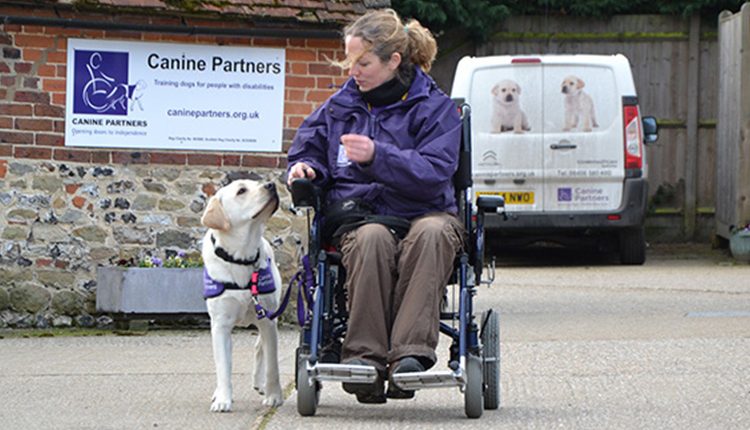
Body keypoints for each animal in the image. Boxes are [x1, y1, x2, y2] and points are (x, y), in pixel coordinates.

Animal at [200, 177, 284, 410]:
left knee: (260, 347)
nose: (271, 185)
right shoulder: (220, 324)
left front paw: (274, 396)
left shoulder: (267, 319)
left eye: (258, 182)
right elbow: (223, 366)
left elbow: (272, 365)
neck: (241, 256)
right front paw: (222, 399)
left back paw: (260, 383)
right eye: (241, 191)